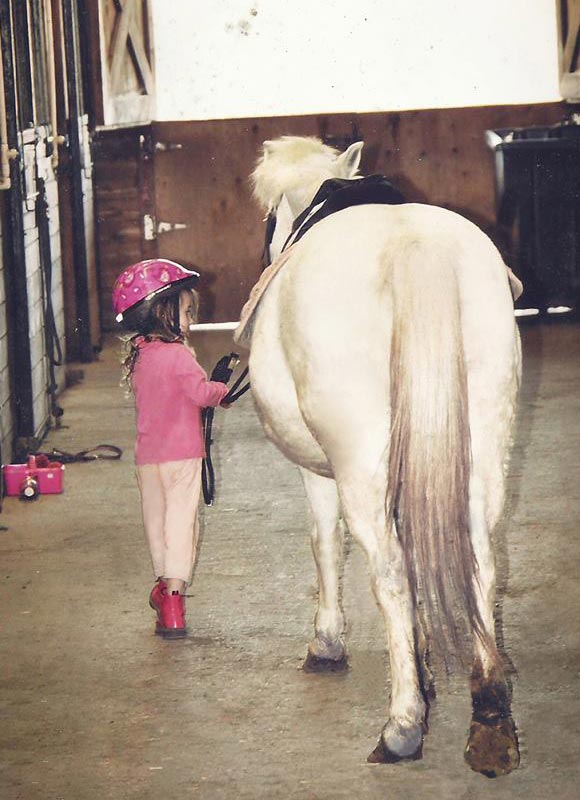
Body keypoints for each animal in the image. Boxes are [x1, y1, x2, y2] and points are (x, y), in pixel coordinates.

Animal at [242, 135, 521, 776]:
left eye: (269, 219)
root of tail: (416, 248)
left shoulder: (318, 472)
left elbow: (325, 542)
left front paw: (328, 642)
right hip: (482, 451)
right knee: (480, 555)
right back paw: (489, 715)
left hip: (359, 466)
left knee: (389, 570)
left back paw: (402, 727)